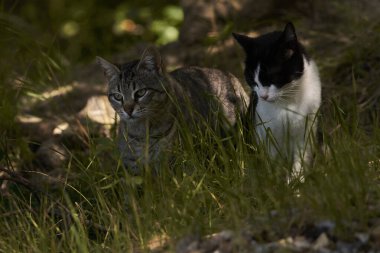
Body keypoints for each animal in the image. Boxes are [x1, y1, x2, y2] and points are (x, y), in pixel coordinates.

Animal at [235, 22, 320, 180]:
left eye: (272, 77)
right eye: (251, 79)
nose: (263, 96)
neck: (287, 102)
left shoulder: (305, 133)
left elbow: (300, 162)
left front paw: (296, 183)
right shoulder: (265, 136)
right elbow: (272, 165)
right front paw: (275, 182)